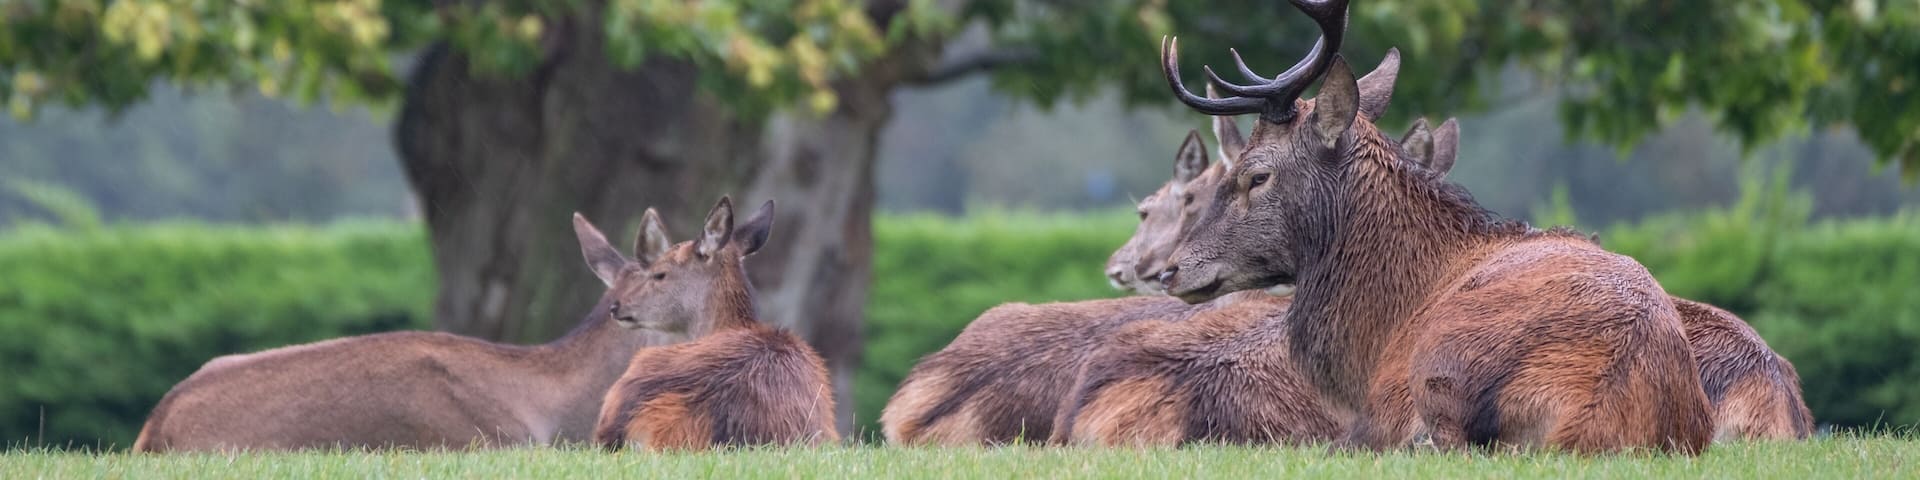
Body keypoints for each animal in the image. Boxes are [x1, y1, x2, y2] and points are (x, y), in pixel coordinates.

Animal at [1153, 0, 1715, 454]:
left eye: (1256, 175)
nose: (1170, 270)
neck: (1377, 334)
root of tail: (1592, 414)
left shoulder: (1379, 406)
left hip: (1440, 361)